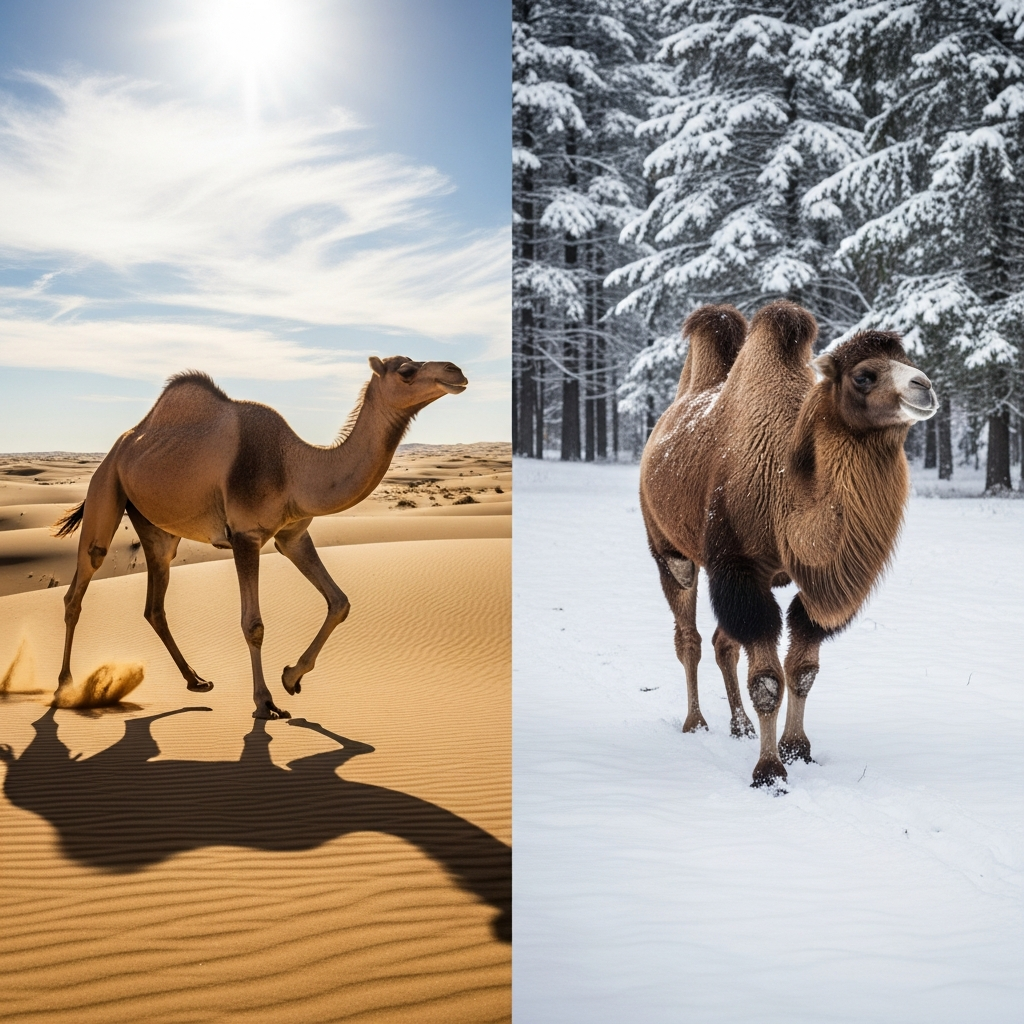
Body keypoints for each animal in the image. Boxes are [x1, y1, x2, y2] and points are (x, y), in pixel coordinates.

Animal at [52, 356, 467, 719]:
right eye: (407, 371)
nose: (456, 370)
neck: (294, 467)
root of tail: (122, 445)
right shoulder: (245, 536)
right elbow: (253, 624)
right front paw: (265, 702)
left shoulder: (293, 535)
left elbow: (340, 602)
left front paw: (291, 678)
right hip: (106, 487)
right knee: (80, 584)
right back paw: (64, 688)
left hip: (156, 528)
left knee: (155, 602)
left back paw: (196, 680)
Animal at [641, 301, 937, 787]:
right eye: (864, 375)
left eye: (909, 361)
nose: (924, 386)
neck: (785, 491)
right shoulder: (739, 568)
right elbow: (767, 681)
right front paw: (768, 772)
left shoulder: (815, 586)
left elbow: (802, 670)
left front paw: (797, 748)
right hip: (671, 550)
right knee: (690, 638)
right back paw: (695, 723)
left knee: (724, 643)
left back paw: (739, 726)